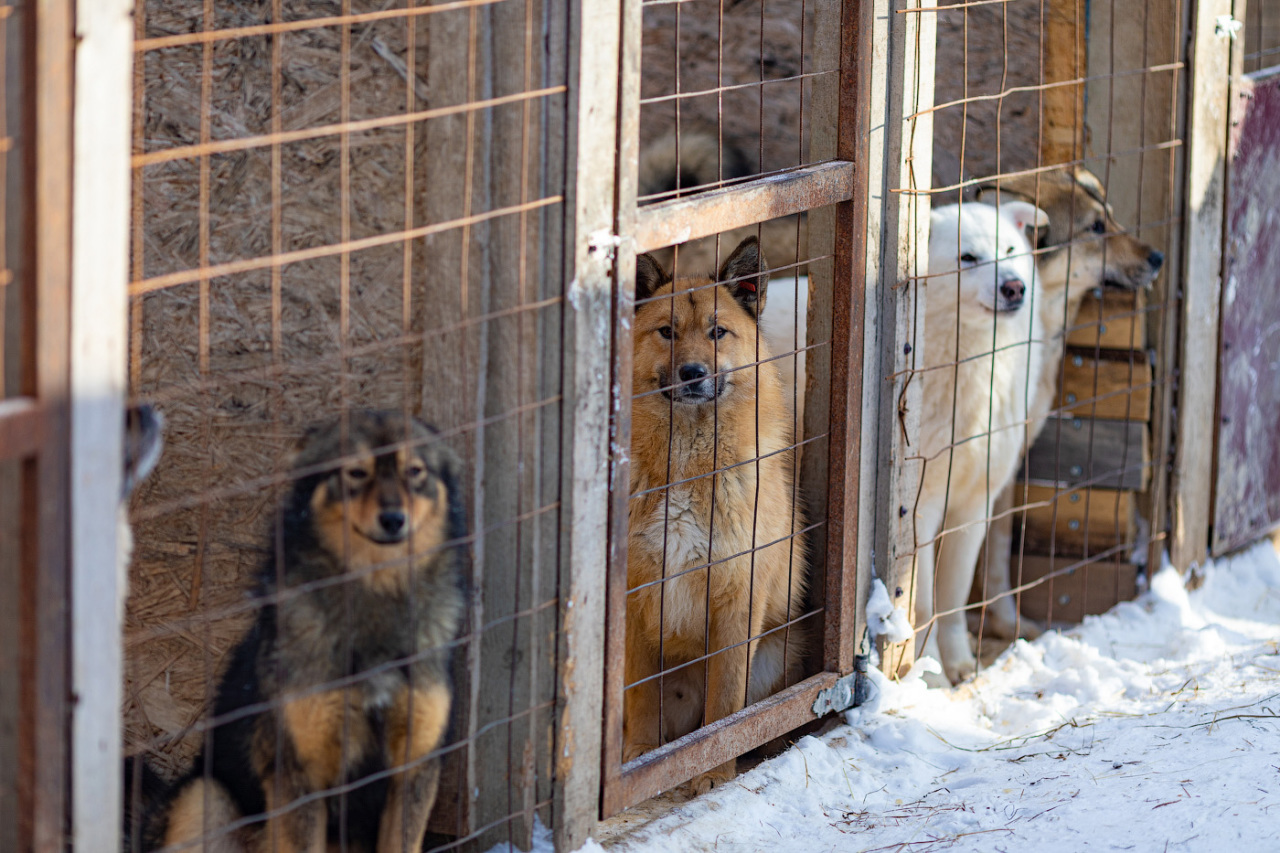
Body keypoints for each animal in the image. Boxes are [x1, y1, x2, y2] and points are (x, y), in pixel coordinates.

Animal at [151, 409, 465, 845]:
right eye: (355, 473)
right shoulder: (301, 776)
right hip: (206, 797)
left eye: (414, 471)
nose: (393, 520)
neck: (376, 602)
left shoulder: (414, 769)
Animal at [916, 201, 1044, 686]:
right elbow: (922, 606)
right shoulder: (920, 511)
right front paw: (930, 675)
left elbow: (952, 598)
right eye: (967, 258)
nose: (1014, 287)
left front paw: (958, 663)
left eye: (1009, 249)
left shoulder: (973, 505)